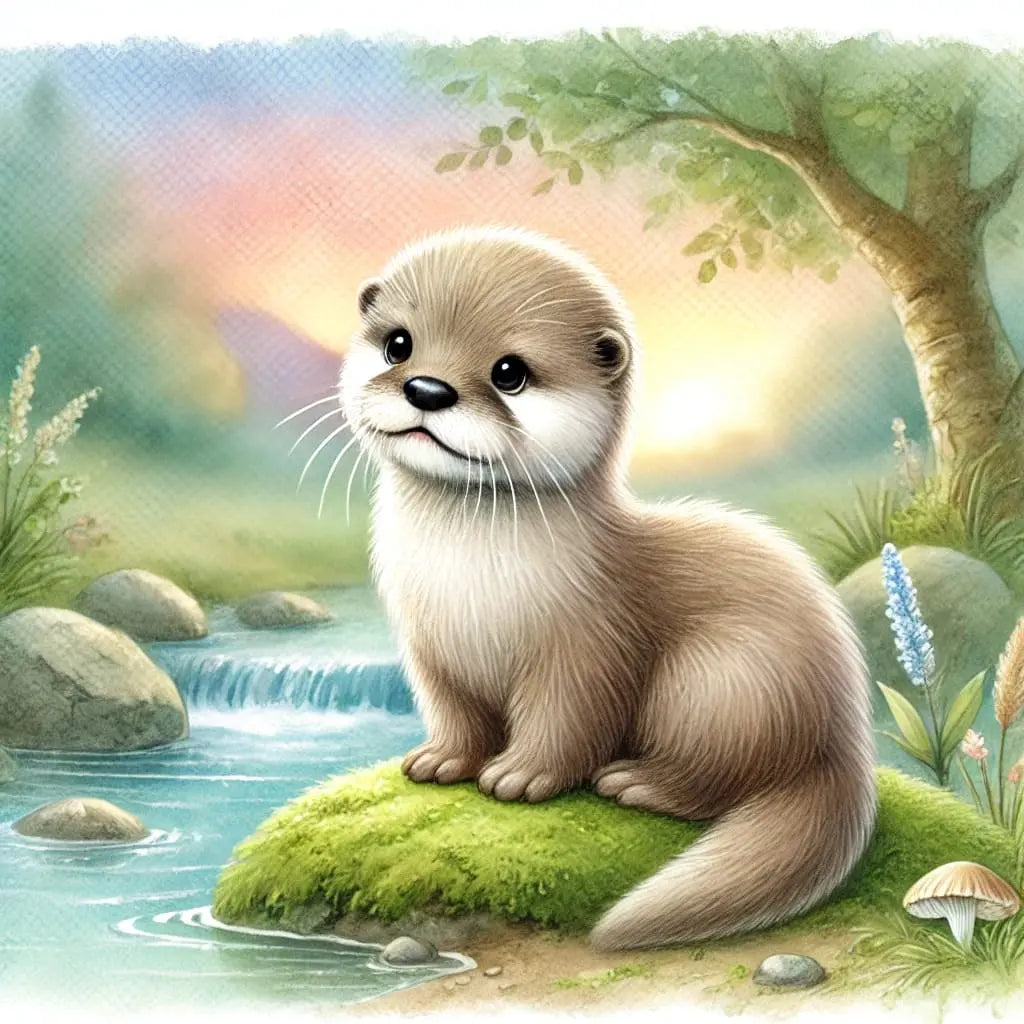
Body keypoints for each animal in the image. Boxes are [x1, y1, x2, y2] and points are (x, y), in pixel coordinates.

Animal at [340, 226, 876, 950]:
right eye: (399, 343)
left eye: (510, 372)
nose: (426, 388)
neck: (471, 587)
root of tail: (841, 740)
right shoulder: (427, 644)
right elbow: (455, 711)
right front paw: (441, 760)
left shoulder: (590, 633)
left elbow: (569, 715)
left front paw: (522, 775)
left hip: (720, 681)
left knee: (716, 780)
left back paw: (637, 783)